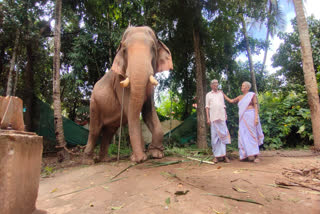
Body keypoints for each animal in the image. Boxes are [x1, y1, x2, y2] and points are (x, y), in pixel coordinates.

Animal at [82, 25, 172, 163]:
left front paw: (156, 154)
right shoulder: (119, 84)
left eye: (153, 48)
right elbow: (130, 112)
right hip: (94, 105)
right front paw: (140, 158)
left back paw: (105, 159)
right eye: (124, 50)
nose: (140, 157)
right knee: (95, 130)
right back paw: (89, 161)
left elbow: (148, 112)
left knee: (109, 132)